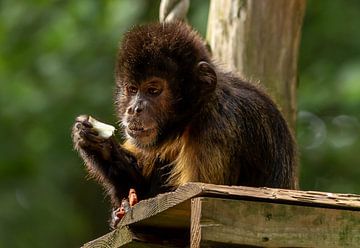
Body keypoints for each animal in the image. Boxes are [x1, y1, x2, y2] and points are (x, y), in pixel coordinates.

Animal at [71, 21, 296, 227]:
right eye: (133, 89)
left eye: (153, 90)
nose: (134, 109)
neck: (195, 112)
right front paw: (98, 145)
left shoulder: (218, 128)